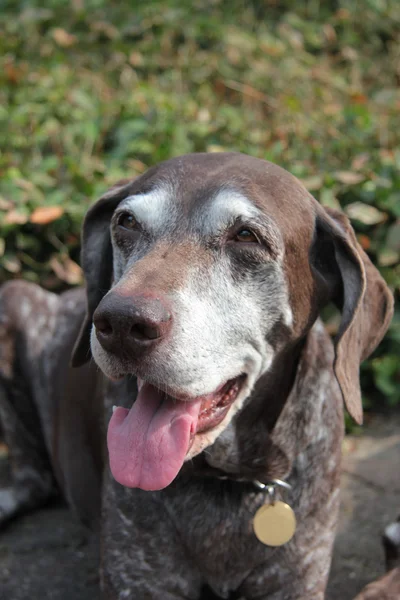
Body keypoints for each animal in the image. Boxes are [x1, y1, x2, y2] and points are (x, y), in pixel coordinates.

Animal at [0, 152, 394, 596]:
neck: (233, 479)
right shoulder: (140, 583)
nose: (120, 323)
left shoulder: (296, 583)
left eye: (246, 236)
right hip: (12, 297)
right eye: (127, 222)